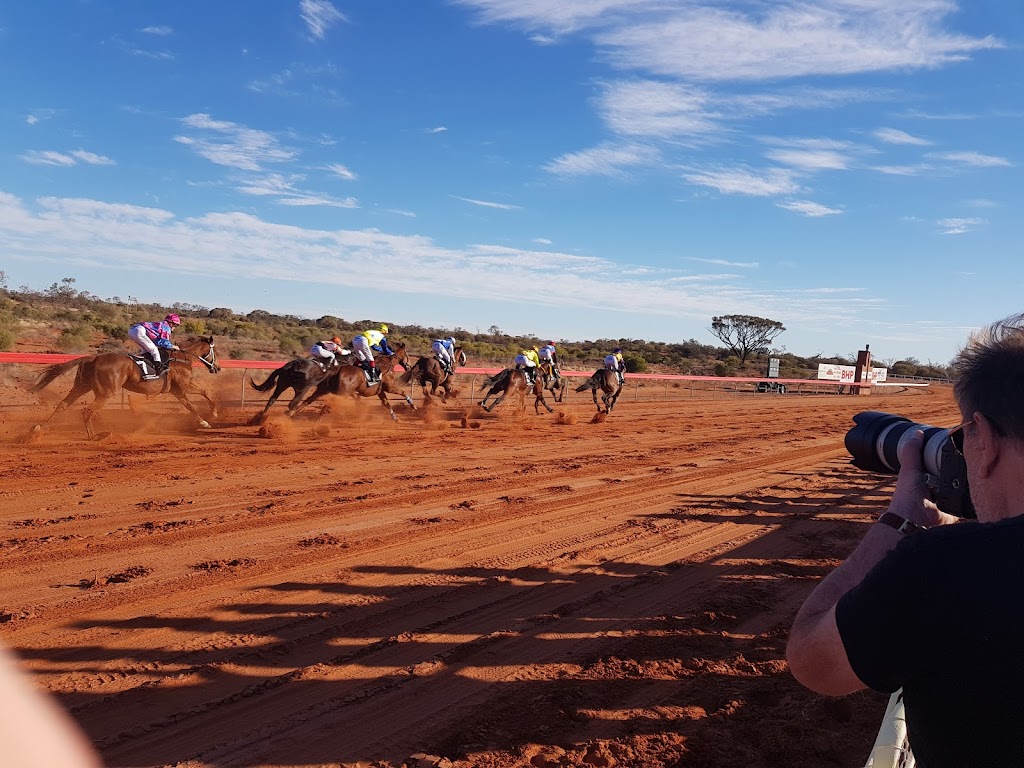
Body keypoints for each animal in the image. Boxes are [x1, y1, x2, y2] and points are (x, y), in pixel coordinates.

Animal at [29, 335, 222, 438]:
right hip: (105, 392)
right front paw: (209, 417)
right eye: (214, 352)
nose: (217, 368)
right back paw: (95, 437)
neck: (182, 358)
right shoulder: (182, 387)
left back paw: (38, 430)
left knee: (62, 405)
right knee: (87, 411)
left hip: (81, 386)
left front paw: (209, 416)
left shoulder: (177, 390)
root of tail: (93, 357)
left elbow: (197, 398)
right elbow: (197, 398)